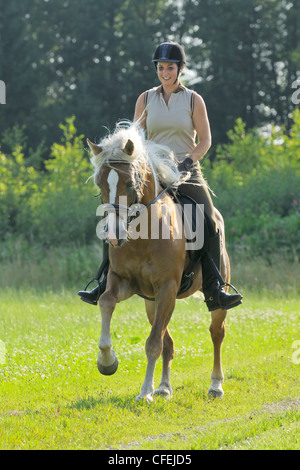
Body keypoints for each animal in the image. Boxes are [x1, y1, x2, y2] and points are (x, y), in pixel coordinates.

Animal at [86, 121, 230, 400]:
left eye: (130, 183)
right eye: (99, 185)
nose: (113, 235)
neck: (144, 236)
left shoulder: (167, 288)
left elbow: (153, 343)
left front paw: (144, 393)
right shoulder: (123, 281)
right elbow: (106, 302)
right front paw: (107, 362)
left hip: (211, 296)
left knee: (216, 333)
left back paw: (215, 385)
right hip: (151, 303)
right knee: (168, 342)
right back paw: (164, 387)